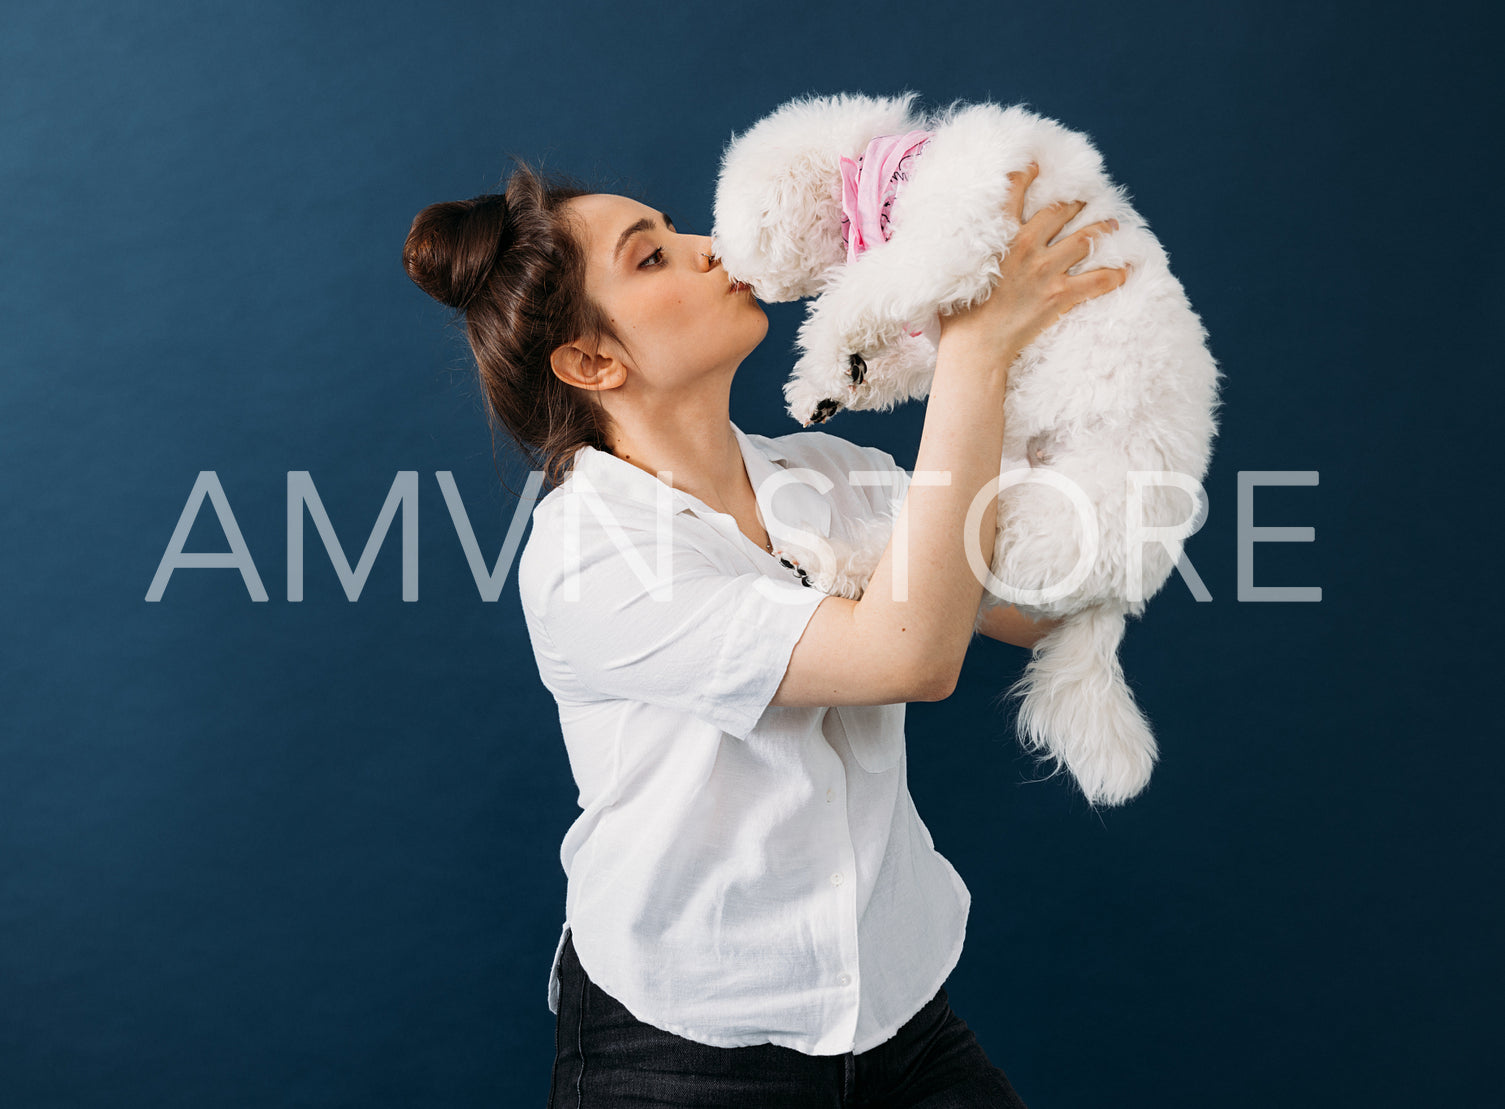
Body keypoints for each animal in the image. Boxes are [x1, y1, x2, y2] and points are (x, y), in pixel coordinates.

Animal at [713, 92, 1222, 806]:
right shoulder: (949, 328)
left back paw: (825, 562)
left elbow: (857, 293)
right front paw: (828, 384)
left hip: (1023, 519)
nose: (714, 259)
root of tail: (1119, 595)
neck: (897, 170)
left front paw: (829, 355)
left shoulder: (950, 244)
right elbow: (903, 359)